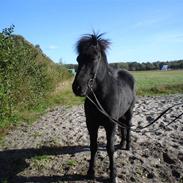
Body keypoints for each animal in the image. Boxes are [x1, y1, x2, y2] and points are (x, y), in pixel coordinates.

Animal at [72, 33, 135, 183]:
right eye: (78, 59)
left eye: (94, 58)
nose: (77, 88)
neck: (101, 96)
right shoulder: (91, 124)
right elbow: (93, 146)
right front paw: (90, 171)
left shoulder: (110, 124)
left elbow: (110, 149)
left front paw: (113, 174)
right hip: (120, 116)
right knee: (123, 128)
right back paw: (122, 144)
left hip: (129, 113)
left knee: (128, 126)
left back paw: (128, 146)